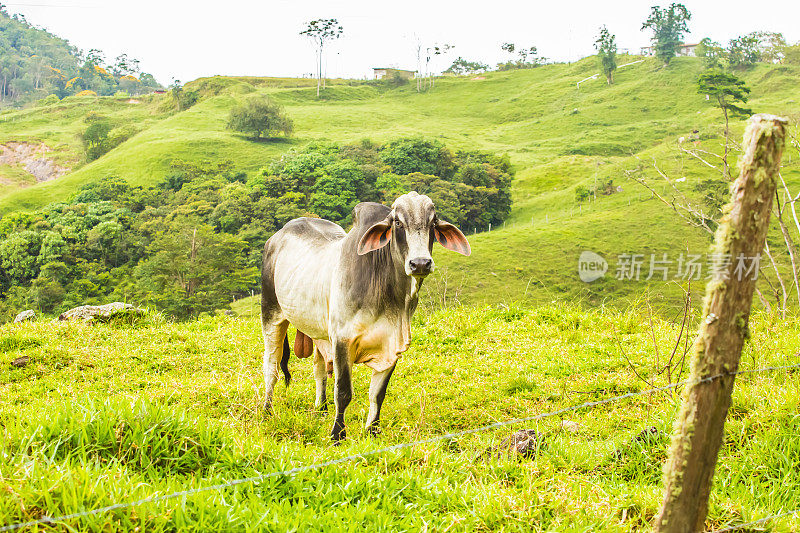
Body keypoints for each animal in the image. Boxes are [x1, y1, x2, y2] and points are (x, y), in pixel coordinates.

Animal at [260, 191, 472, 440]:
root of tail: (277, 236)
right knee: (271, 367)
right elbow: (343, 392)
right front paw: (337, 435)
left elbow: (377, 393)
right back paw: (267, 411)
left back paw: (321, 409)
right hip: (271, 313)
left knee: (318, 368)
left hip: (318, 331)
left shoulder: (392, 345)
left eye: (433, 222)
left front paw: (372, 431)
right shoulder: (342, 339)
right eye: (398, 222)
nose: (420, 263)